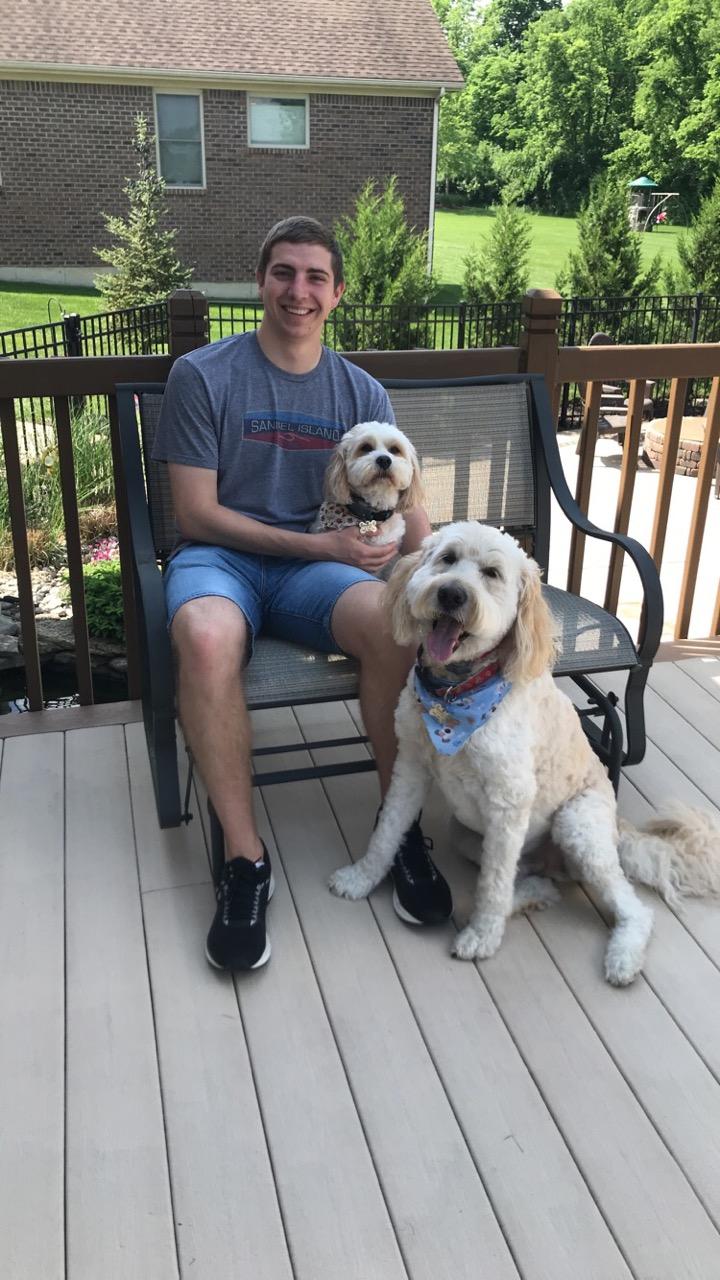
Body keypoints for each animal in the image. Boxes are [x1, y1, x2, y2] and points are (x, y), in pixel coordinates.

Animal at [330, 519, 717, 988]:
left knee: (631, 907)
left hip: (576, 826)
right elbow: (388, 832)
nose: (452, 594)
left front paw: (482, 938)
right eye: (447, 559)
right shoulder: (411, 767)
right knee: (526, 878)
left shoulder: (509, 801)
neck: (455, 695)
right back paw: (536, 895)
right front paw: (360, 878)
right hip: (469, 836)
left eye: (492, 574)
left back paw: (621, 958)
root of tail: (616, 830)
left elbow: (493, 884)